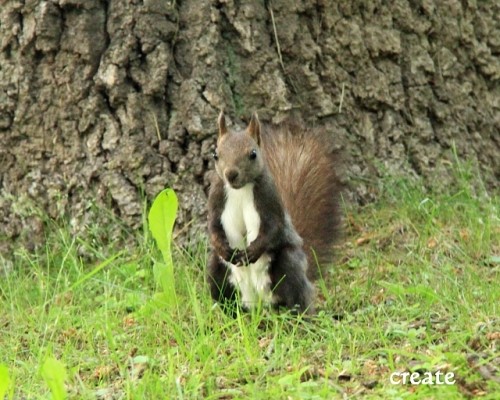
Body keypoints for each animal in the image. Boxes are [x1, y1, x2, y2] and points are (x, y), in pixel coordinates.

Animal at [206, 111, 340, 312]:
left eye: (253, 154)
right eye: (215, 154)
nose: (231, 174)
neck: (240, 190)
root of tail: (260, 305)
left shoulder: (270, 200)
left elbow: (273, 228)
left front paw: (252, 251)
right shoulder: (216, 199)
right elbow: (213, 226)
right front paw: (222, 246)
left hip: (288, 265)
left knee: (297, 295)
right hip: (217, 270)